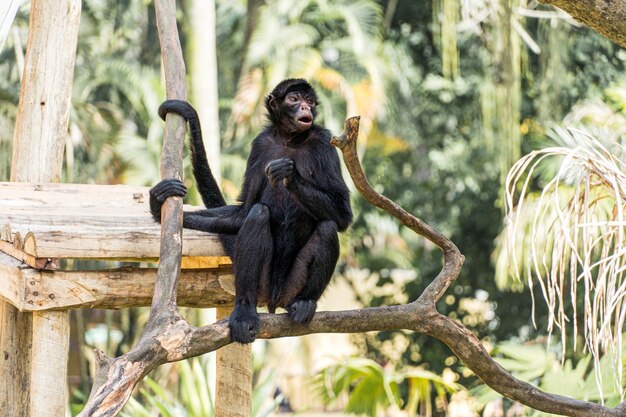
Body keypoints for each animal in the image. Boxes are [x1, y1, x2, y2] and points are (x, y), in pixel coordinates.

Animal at [147, 78, 352, 342]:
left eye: (309, 101)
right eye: (294, 99)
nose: (306, 108)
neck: (289, 140)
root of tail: (274, 297)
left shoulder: (324, 141)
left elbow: (343, 215)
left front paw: (289, 173)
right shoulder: (260, 144)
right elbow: (244, 213)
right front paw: (159, 206)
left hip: (292, 285)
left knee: (327, 226)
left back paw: (305, 301)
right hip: (261, 284)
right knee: (258, 214)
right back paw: (245, 310)